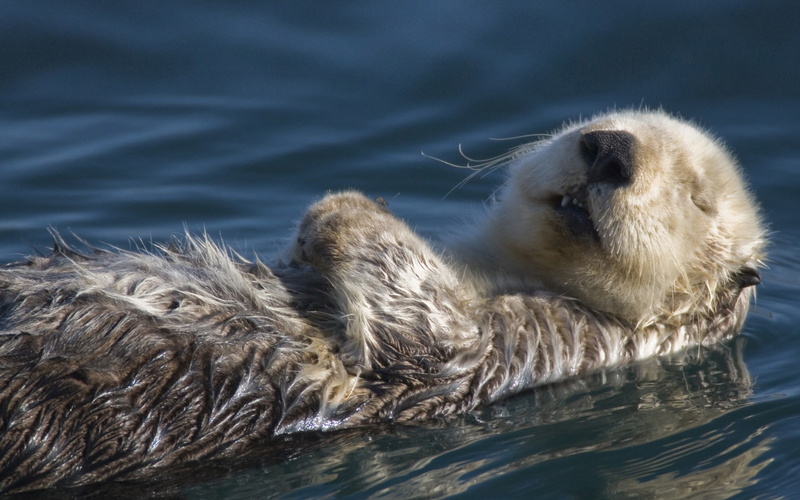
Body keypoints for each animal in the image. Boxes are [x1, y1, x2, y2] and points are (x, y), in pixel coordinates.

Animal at [0, 110, 765, 493]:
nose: (609, 150)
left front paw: (342, 209)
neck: (498, 269)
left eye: (696, 197)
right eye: (603, 122)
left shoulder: (541, 342)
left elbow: (428, 334)